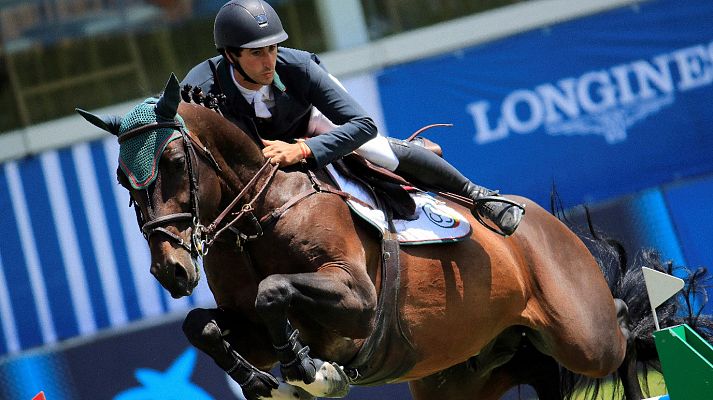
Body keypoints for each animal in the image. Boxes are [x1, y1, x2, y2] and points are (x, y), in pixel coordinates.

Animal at [76, 74, 700, 396]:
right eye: (121, 180)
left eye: (173, 162)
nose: (170, 271)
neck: (258, 215)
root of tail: (553, 232)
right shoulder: (245, 323)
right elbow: (201, 326)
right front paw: (262, 379)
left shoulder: (359, 299)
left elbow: (275, 289)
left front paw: (308, 371)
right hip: (469, 372)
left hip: (584, 338)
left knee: (619, 330)